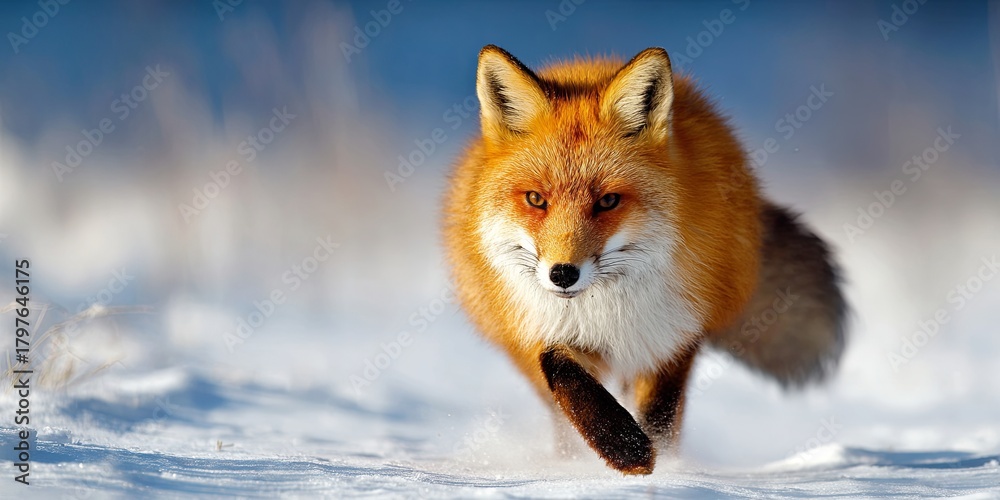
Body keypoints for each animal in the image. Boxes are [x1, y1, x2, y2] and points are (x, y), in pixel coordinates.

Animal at [442, 45, 846, 475]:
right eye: (536, 199)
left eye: (607, 201)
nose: (563, 274)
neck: (606, 311)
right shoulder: (541, 330)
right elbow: (564, 375)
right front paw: (625, 450)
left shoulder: (673, 333)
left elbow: (660, 414)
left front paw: (662, 466)